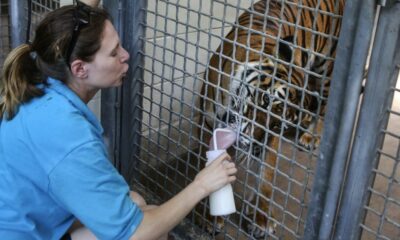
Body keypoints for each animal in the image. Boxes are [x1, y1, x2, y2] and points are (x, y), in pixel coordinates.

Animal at [198, 0, 346, 237]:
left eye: (277, 125)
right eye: (265, 100)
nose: (252, 142)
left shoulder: (269, 142)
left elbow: (266, 178)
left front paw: (261, 219)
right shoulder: (206, 122)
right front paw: (208, 216)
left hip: (328, 67)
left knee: (324, 105)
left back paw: (310, 136)